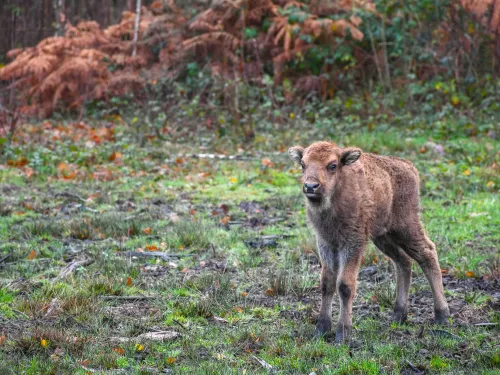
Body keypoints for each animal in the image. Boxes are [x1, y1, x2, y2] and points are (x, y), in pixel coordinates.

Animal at [290, 141, 450, 344]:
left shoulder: (353, 243)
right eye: (303, 164)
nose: (311, 186)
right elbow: (327, 283)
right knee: (404, 262)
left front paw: (342, 334)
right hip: (383, 236)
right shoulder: (326, 243)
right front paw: (321, 330)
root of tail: (409, 167)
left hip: (406, 227)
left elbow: (345, 285)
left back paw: (442, 316)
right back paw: (398, 315)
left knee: (427, 253)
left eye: (332, 165)